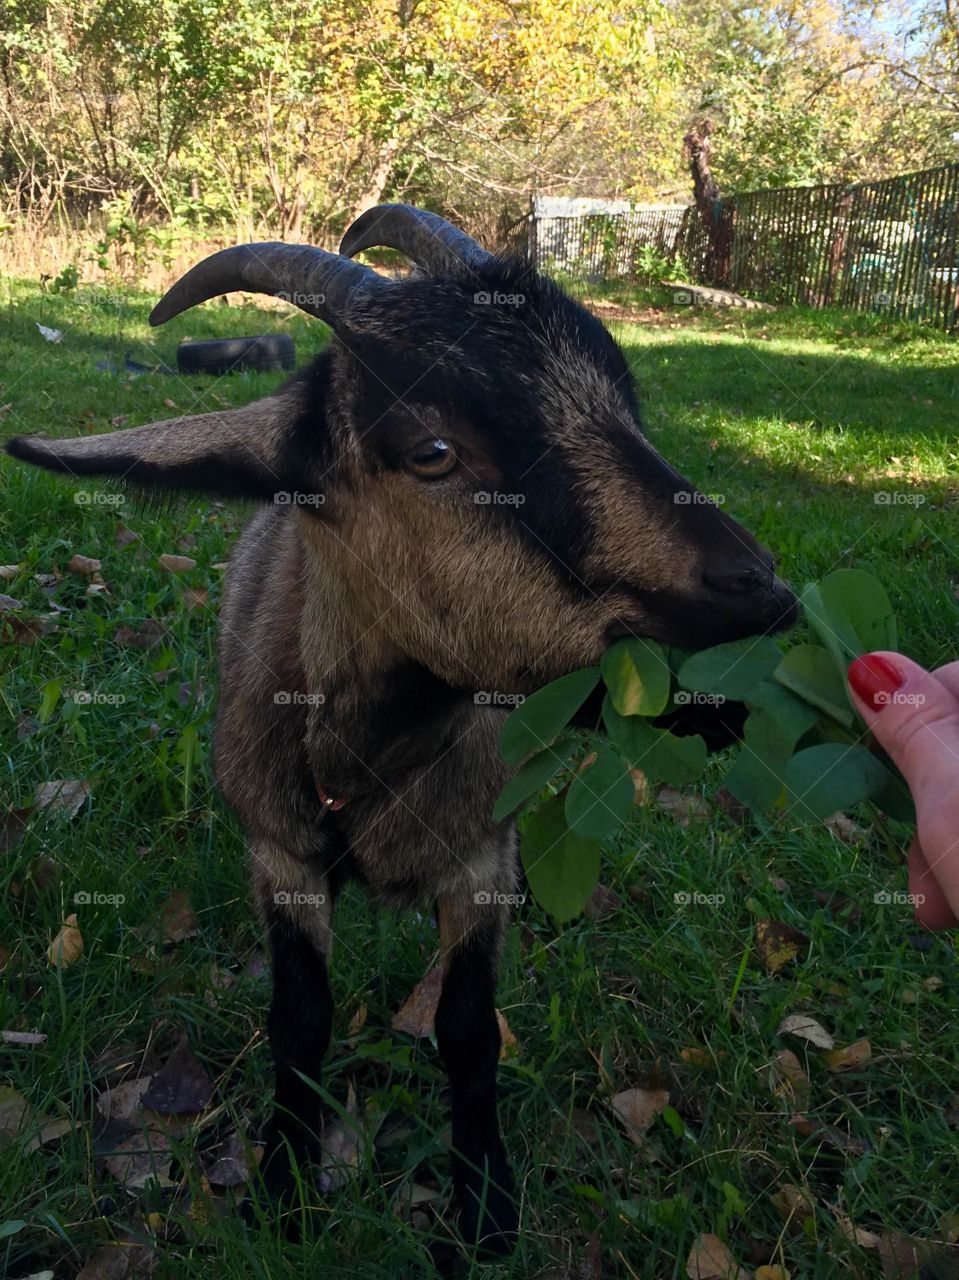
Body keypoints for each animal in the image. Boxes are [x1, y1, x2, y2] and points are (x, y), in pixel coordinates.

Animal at [7, 205, 797, 1256]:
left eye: (625, 407)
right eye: (433, 451)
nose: (761, 594)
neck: (372, 753)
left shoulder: (479, 862)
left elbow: (467, 1027)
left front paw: (484, 1207)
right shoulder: (281, 855)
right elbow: (300, 1017)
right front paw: (285, 1182)